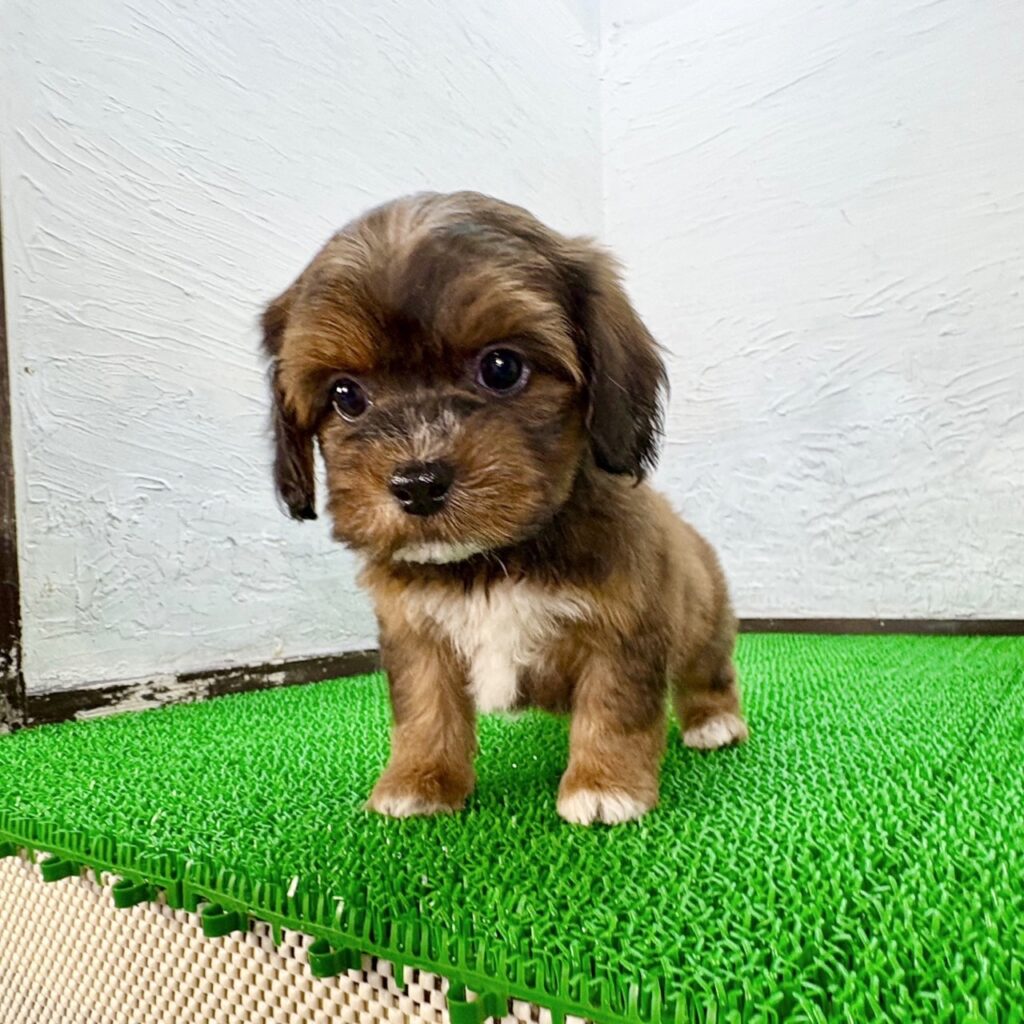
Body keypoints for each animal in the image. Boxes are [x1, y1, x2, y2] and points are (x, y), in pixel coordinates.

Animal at [260, 191, 747, 825]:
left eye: (501, 367)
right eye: (345, 396)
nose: (417, 483)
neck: (490, 560)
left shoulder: (624, 627)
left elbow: (614, 706)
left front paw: (603, 783)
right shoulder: (415, 633)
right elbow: (424, 710)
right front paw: (419, 779)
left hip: (705, 622)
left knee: (707, 671)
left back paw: (714, 722)